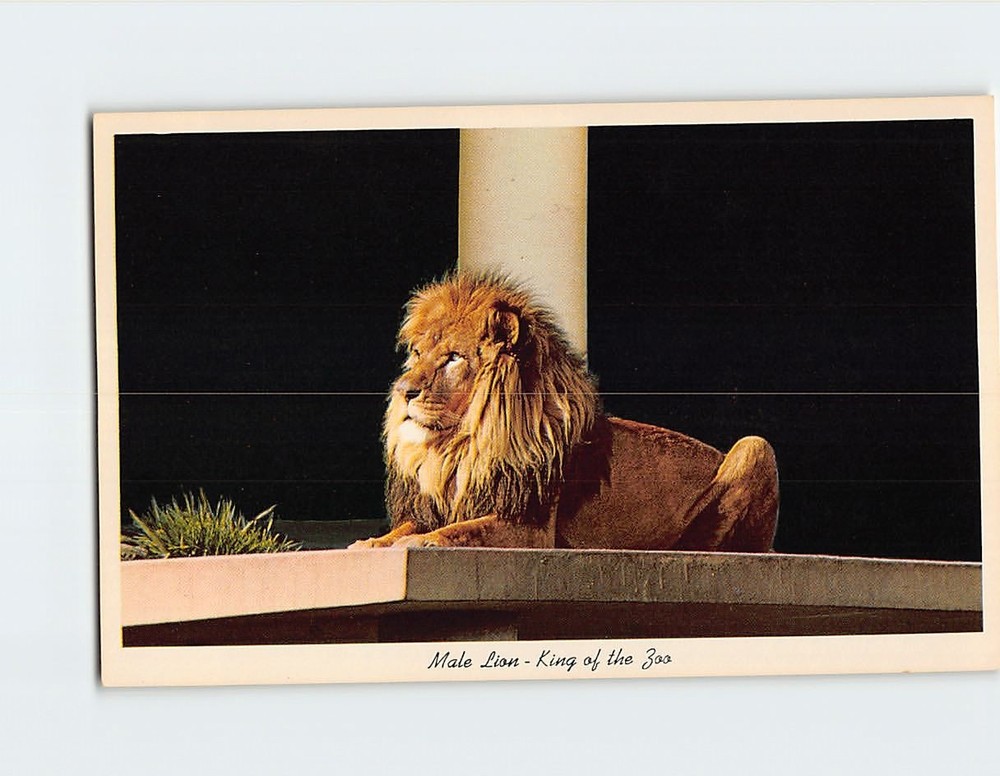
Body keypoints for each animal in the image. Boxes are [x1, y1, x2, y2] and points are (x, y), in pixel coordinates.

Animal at [349, 273, 778, 552]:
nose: (404, 391)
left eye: (453, 357)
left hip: (756, 445)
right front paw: (371, 542)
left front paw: (419, 542)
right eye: (418, 353)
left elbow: (458, 532)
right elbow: (410, 526)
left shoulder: (530, 527)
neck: (461, 445)